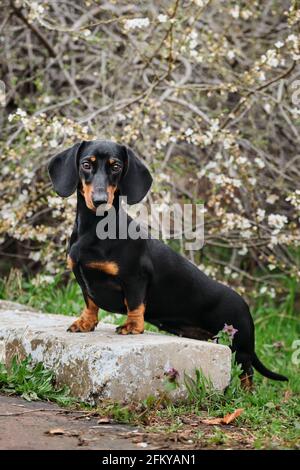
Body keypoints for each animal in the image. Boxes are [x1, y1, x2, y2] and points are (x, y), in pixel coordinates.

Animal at [48, 140, 288, 390]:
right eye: (86, 164)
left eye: (116, 167)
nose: (100, 200)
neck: (94, 229)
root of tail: (245, 306)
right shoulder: (82, 277)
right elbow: (91, 302)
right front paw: (85, 322)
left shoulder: (135, 277)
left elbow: (135, 304)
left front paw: (132, 326)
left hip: (239, 345)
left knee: (247, 372)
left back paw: (245, 392)